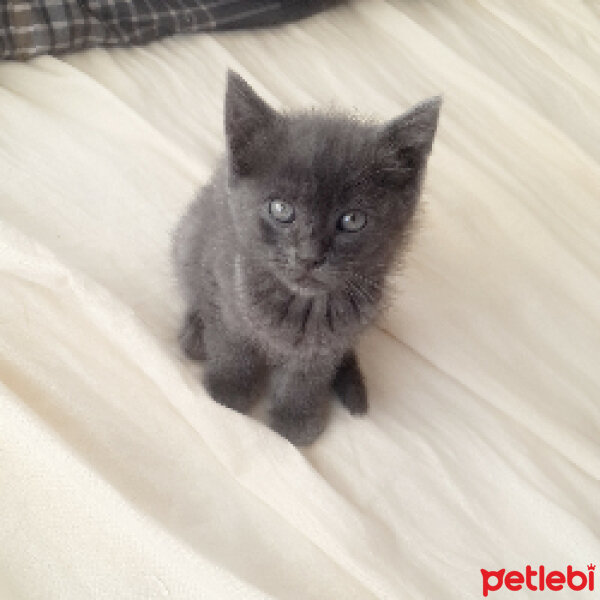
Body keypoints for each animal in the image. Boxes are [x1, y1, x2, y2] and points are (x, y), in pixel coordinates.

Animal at [173, 71, 440, 446]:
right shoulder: (227, 285)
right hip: (189, 237)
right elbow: (233, 343)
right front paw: (228, 392)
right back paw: (196, 335)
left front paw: (295, 421)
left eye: (352, 220)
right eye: (281, 209)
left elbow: (306, 378)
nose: (309, 256)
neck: (302, 307)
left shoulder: (327, 347)